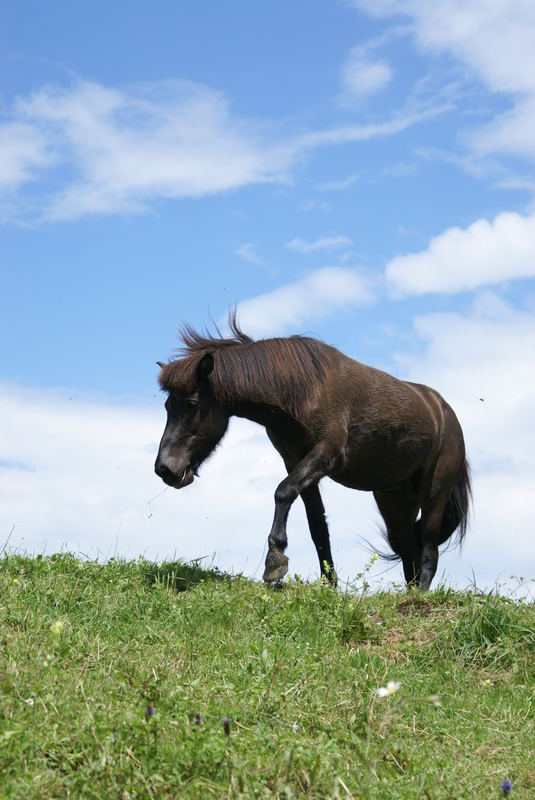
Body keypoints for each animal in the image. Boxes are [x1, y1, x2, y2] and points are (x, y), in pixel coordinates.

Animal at [154, 318, 468, 588]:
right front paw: (329, 584)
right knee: (408, 551)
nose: (165, 469)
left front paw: (275, 560)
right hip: (394, 501)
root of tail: (443, 412)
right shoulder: (296, 461)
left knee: (428, 548)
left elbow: (283, 492)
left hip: (435, 492)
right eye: (168, 406)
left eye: (193, 403)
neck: (304, 390)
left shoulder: (326, 454)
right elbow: (317, 525)